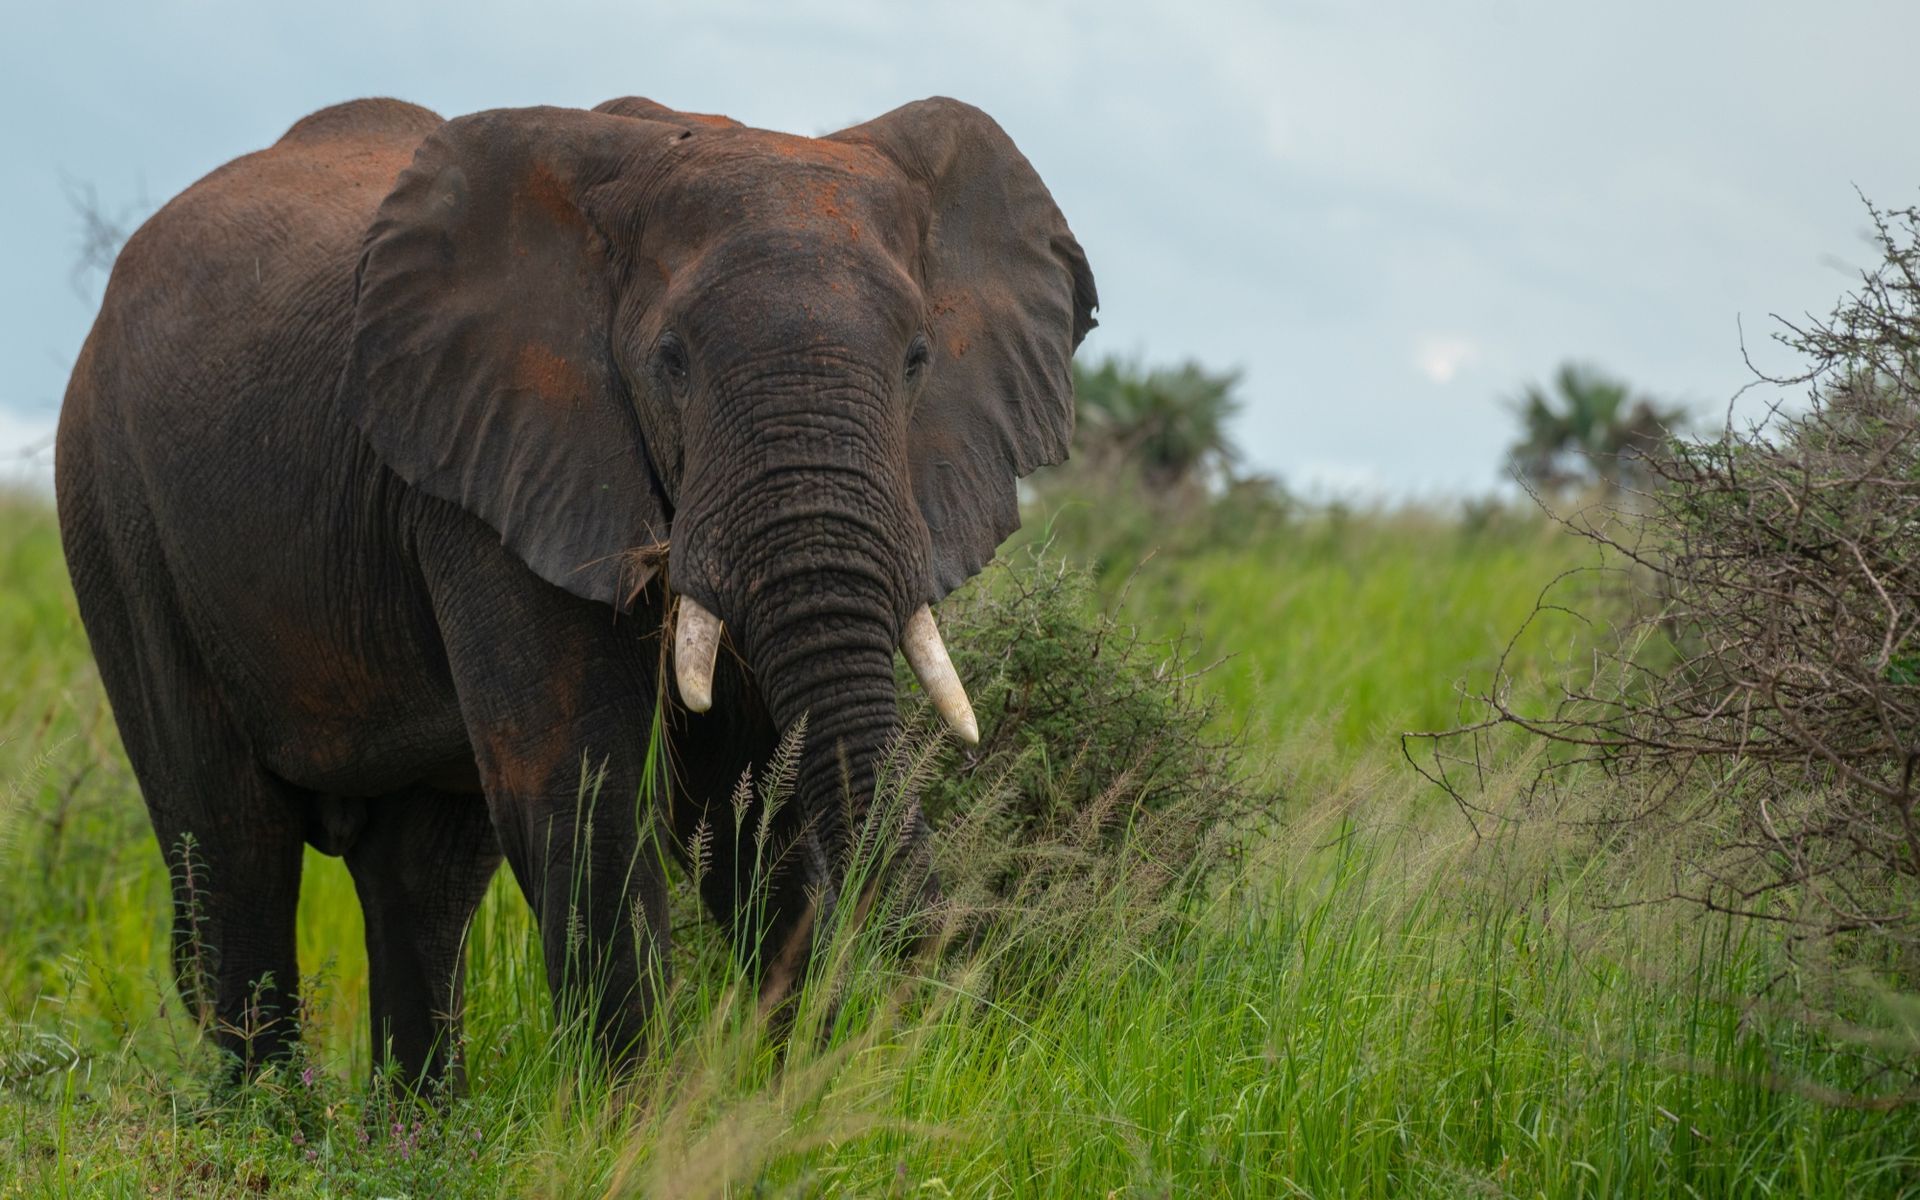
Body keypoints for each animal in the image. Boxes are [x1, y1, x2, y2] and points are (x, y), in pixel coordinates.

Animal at [55, 94, 1096, 1088]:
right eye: (672, 361)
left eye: (918, 359)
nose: (956, 1018)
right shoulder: (495, 470)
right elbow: (585, 798)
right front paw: (643, 1122)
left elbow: (753, 811)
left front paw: (788, 1104)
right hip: (116, 510)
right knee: (232, 847)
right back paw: (277, 1126)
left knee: (422, 878)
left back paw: (418, 1131)